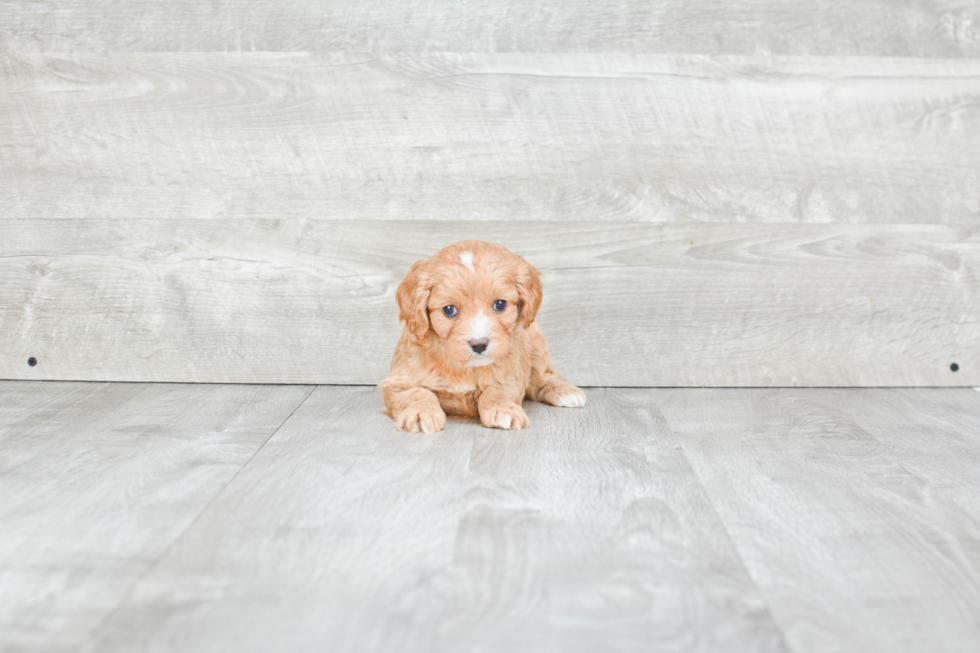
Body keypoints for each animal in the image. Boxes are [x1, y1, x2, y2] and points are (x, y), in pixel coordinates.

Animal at [378, 239, 584, 432]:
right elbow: (418, 393)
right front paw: (421, 412)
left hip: (535, 337)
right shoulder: (397, 382)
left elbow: (496, 391)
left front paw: (503, 409)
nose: (479, 344)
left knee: (543, 376)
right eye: (449, 310)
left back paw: (565, 391)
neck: (464, 367)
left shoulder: (511, 375)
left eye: (500, 304)